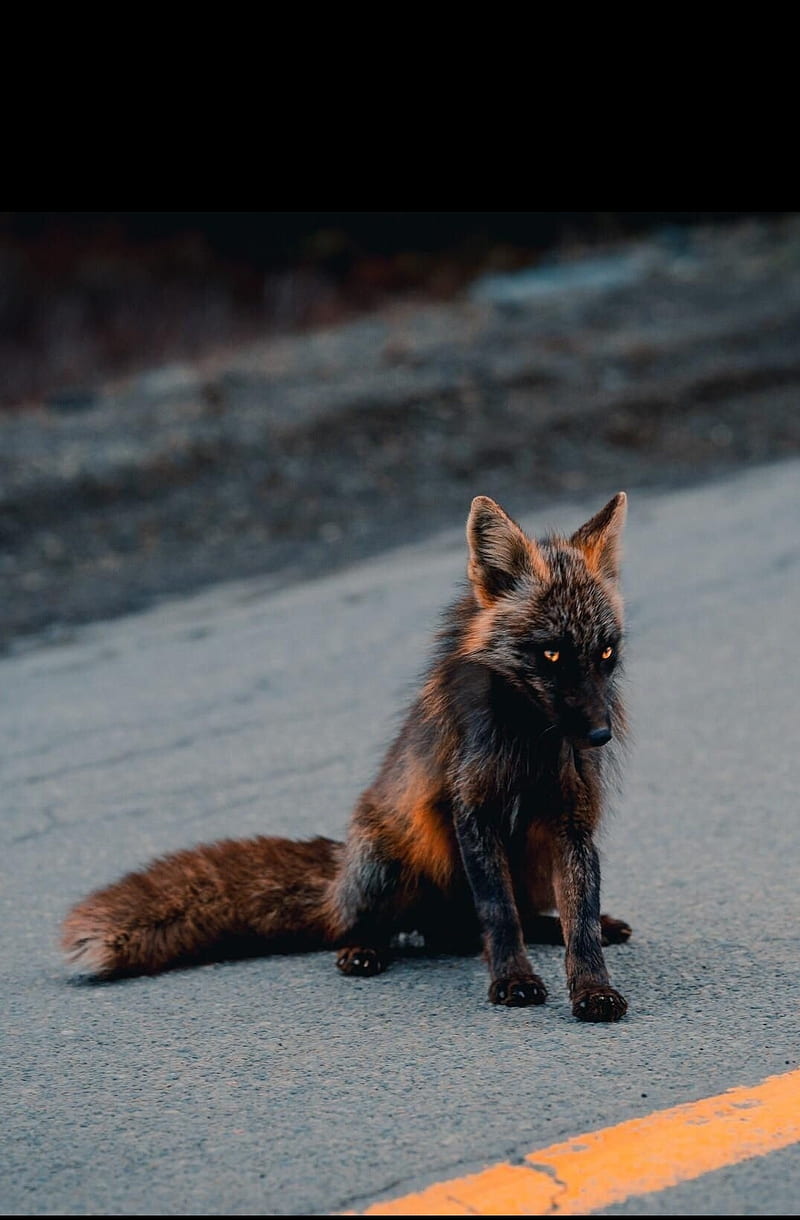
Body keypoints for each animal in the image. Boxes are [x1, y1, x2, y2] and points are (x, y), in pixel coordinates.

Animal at [62, 492, 632, 1022]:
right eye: (551, 654)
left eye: (605, 653)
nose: (599, 735)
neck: (528, 745)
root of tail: (338, 876)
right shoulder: (473, 811)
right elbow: (498, 912)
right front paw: (513, 980)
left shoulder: (572, 821)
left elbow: (580, 920)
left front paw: (592, 989)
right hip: (387, 864)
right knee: (392, 929)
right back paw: (362, 950)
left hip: (529, 862)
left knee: (495, 925)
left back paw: (577, 927)